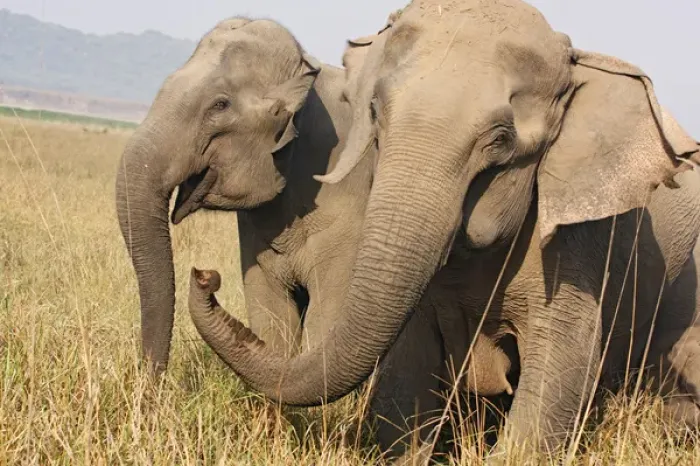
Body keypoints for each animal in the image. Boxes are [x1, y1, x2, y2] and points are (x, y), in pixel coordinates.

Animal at [182, 0, 700, 460]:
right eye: (375, 113)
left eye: (501, 140)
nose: (204, 275)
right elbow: (406, 371)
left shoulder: (578, 244)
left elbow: (558, 369)